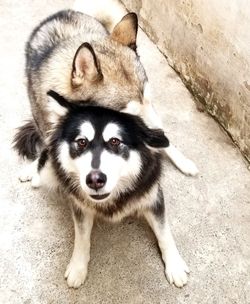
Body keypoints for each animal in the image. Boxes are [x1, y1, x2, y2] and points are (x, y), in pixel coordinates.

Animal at [14, 89, 188, 288]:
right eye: (82, 142)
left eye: (115, 141)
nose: (95, 180)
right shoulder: (80, 206)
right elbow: (81, 237)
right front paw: (78, 266)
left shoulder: (152, 197)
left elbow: (164, 232)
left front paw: (175, 265)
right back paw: (33, 173)